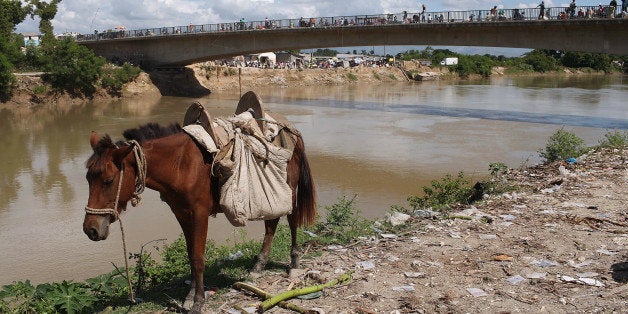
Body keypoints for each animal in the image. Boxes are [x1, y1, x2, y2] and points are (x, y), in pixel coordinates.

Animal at [83, 122, 316, 312]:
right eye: (88, 179)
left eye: (108, 180)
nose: (90, 229)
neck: (181, 165)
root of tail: (292, 132)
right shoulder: (182, 214)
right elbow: (190, 254)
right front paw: (190, 296)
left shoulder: (200, 214)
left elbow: (198, 257)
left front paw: (197, 302)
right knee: (271, 224)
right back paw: (258, 266)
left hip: (290, 191)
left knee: (292, 221)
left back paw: (294, 263)